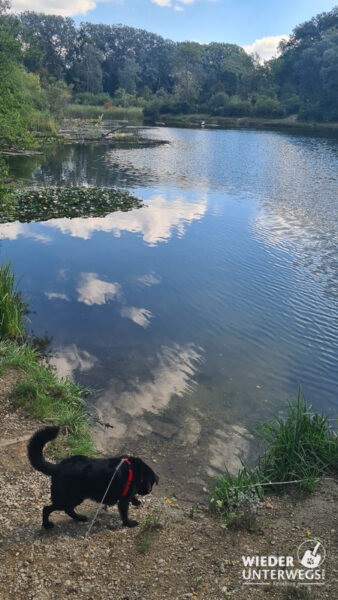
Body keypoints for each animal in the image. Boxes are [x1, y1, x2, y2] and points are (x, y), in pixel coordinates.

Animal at [27, 426, 158, 528]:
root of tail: (58, 466)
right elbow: (125, 514)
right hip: (65, 497)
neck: (136, 470)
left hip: (77, 497)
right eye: (151, 483)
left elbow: (133, 496)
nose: (148, 491)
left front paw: (136, 502)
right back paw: (46, 525)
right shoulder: (123, 501)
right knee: (47, 508)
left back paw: (79, 518)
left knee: (68, 509)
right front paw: (129, 524)